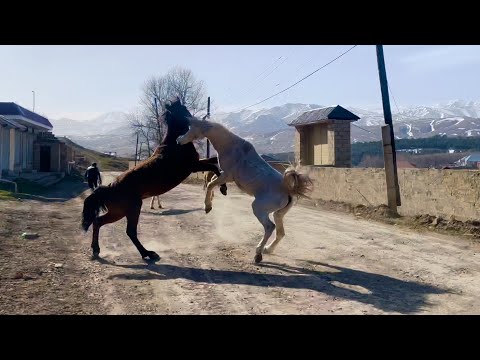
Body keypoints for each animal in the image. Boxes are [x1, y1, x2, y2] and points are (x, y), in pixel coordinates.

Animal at [80, 99, 227, 262]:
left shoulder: (196, 164)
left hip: (118, 212)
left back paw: (96, 250)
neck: (175, 144)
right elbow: (214, 166)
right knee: (129, 231)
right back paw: (148, 253)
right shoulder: (192, 166)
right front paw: (222, 189)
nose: (197, 120)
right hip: (129, 209)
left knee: (98, 222)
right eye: (182, 109)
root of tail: (110, 189)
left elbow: (214, 161)